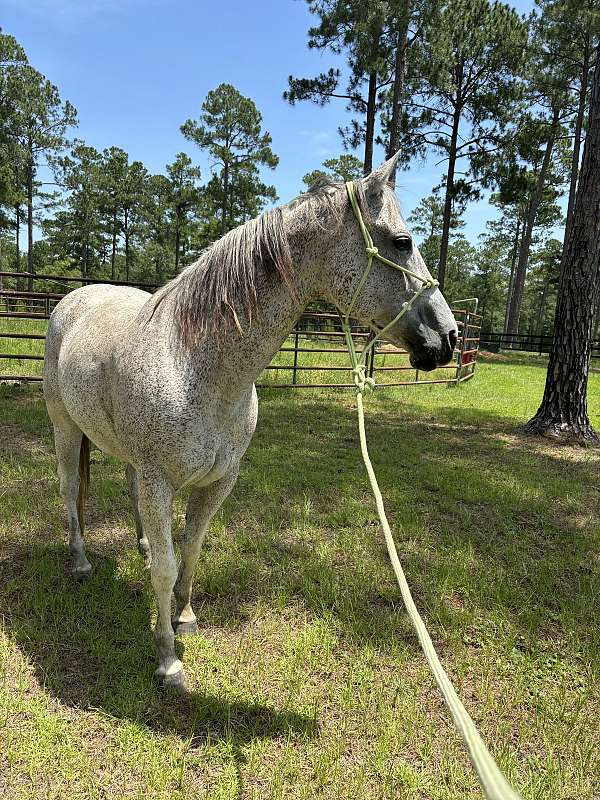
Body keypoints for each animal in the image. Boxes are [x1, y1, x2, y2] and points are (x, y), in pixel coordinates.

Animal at [45, 156, 460, 688]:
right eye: (402, 242)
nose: (448, 337)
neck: (195, 366)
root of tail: (73, 300)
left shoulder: (219, 481)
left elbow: (190, 551)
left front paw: (184, 616)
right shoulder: (161, 482)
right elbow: (166, 569)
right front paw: (168, 659)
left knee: (129, 492)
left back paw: (140, 545)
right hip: (65, 428)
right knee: (68, 489)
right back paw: (78, 560)